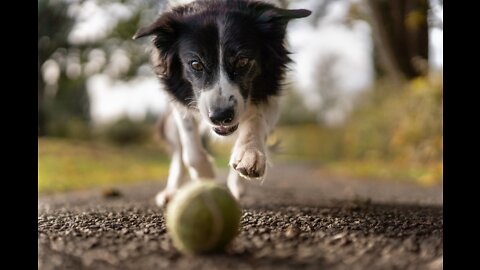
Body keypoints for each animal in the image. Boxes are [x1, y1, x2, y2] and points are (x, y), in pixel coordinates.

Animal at [132, 0, 312, 207]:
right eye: (196, 64)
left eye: (243, 61)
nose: (220, 117)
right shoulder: (180, 102)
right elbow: (191, 152)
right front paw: (207, 179)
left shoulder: (271, 91)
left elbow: (255, 120)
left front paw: (249, 154)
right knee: (178, 153)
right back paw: (171, 192)